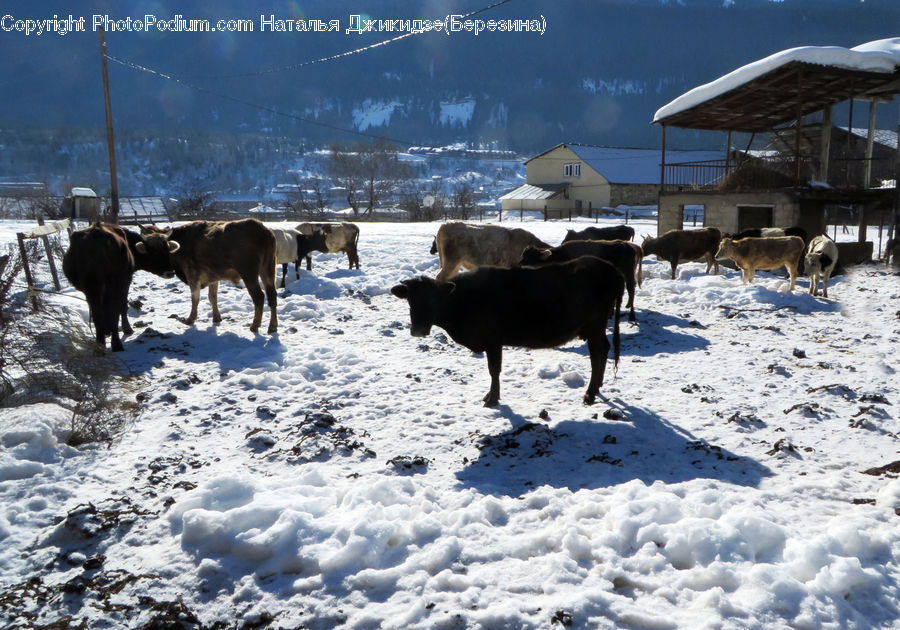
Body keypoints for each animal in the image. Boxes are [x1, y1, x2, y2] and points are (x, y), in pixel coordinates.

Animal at [62, 223, 135, 354]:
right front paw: (126, 329)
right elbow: (121, 306)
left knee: (98, 312)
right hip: (117, 280)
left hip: (92, 285)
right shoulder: (126, 280)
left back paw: (100, 345)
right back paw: (116, 344)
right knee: (114, 309)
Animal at [136, 220, 278, 334]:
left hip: (249, 273)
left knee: (259, 297)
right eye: (151, 249)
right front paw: (216, 318)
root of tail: (261, 229)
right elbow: (212, 297)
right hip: (268, 269)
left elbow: (195, 298)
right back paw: (272, 327)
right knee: (272, 295)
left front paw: (190, 319)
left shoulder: (192, 274)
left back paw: (255, 326)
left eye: (164, 248)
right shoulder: (213, 277)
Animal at [390, 258, 624, 410]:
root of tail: (610, 268)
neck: (465, 299)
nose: (418, 329)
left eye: (435, 299)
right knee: (603, 350)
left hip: (595, 325)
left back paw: (590, 393)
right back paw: (597, 386)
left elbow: (494, 370)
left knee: (597, 352)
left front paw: (492, 398)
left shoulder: (493, 340)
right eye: (410, 300)